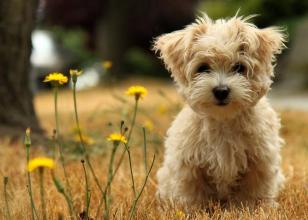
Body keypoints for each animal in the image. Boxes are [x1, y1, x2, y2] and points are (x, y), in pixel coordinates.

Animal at [153, 14, 286, 207]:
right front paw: (194, 209)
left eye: (239, 67)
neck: (224, 120)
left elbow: (254, 190)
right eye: (203, 68)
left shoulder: (260, 160)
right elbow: (192, 192)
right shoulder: (189, 163)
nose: (221, 90)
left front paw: (254, 208)